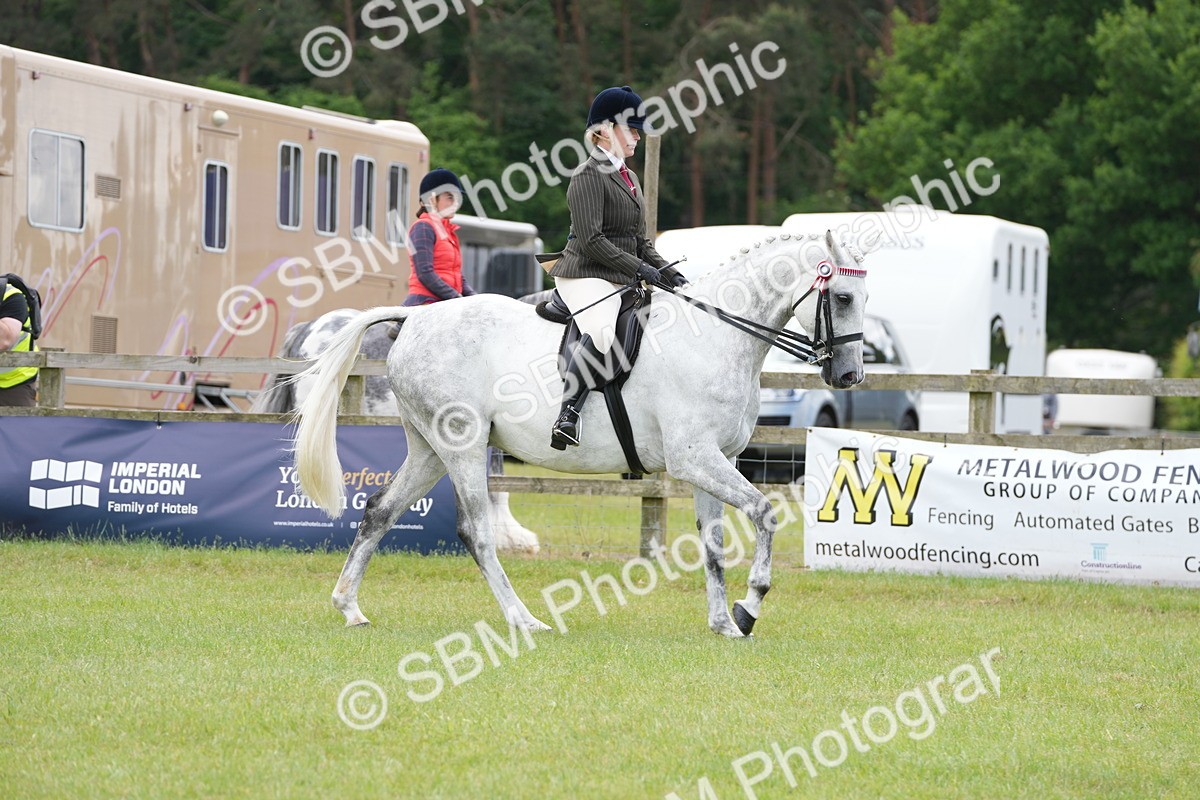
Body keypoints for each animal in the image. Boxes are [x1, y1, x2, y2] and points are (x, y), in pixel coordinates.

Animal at [293, 230, 876, 637]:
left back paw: (349, 607)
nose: (849, 376)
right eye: (843, 298)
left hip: (430, 450)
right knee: (477, 534)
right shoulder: (694, 458)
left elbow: (711, 545)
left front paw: (724, 624)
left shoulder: (715, 461)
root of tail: (413, 321)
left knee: (379, 511)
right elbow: (764, 512)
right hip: (462, 445)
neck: (715, 336)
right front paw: (749, 607)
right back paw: (525, 620)